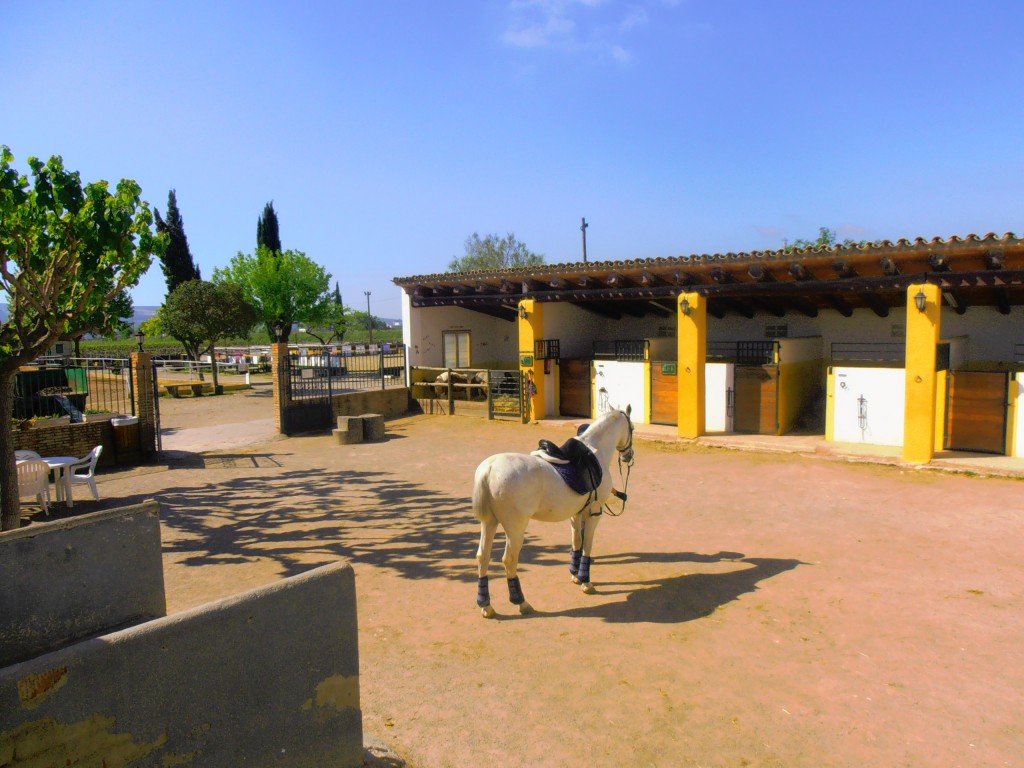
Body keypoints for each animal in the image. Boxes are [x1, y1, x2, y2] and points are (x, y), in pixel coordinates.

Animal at [471, 409, 630, 618]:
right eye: (632, 427)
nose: (629, 455)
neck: (597, 451)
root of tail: (489, 468)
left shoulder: (576, 514)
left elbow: (577, 542)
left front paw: (575, 575)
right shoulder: (594, 512)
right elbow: (587, 545)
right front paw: (585, 582)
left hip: (489, 522)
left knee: (483, 556)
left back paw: (486, 605)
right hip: (515, 528)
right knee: (509, 560)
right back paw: (521, 602)